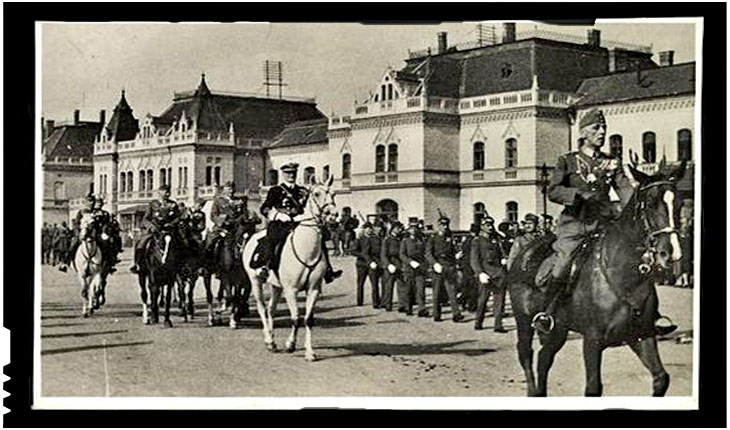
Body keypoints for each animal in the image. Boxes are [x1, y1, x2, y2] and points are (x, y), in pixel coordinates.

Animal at [243, 174, 336, 360]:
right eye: (316, 193)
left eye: (334, 193)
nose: (333, 215)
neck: (306, 249)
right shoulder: (291, 290)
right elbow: (295, 317)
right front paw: (291, 344)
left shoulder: (313, 289)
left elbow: (308, 319)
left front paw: (309, 352)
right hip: (255, 280)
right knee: (262, 308)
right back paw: (268, 340)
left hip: (276, 286)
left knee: (271, 309)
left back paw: (272, 341)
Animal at [504, 158, 684, 396]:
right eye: (651, 203)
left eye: (679, 203)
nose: (671, 252)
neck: (624, 276)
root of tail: (523, 252)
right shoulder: (592, 340)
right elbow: (593, 387)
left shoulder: (641, 335)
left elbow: (661, 379)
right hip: (524, 321)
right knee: (526, 354)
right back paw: (533, 391)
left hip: (558, 329)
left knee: (544, 358)